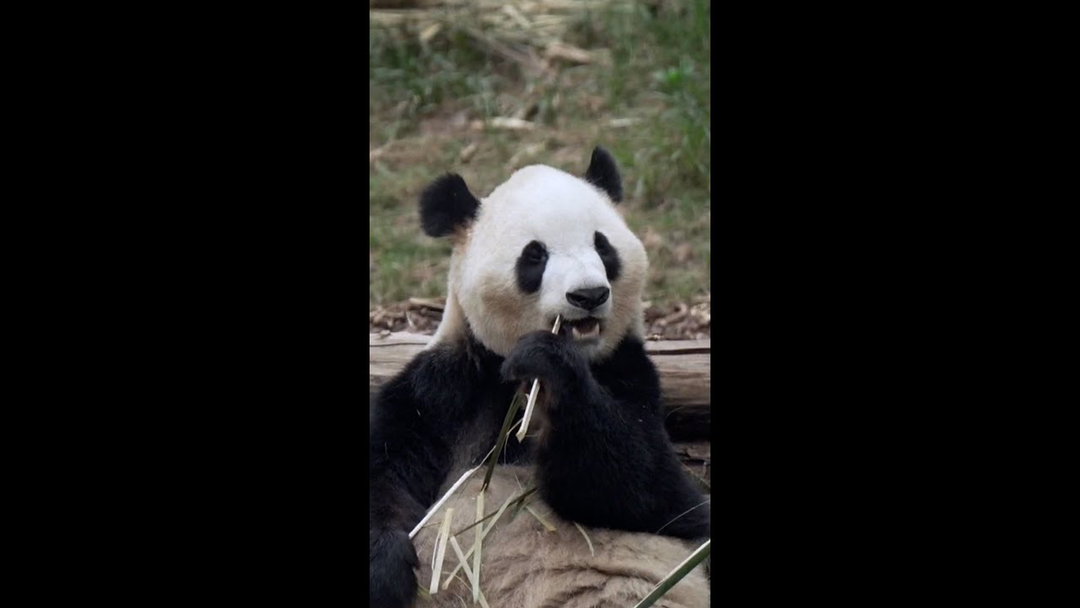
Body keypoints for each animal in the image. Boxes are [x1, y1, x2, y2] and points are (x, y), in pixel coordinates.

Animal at [370, 147, 710, 608]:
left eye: (602, 246)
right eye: (535, 255)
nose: (589, 295)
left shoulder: (628, 371)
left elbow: (648, 488)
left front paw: (548, 360)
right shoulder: (446, 387)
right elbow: (386, 462)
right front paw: (386, 566)